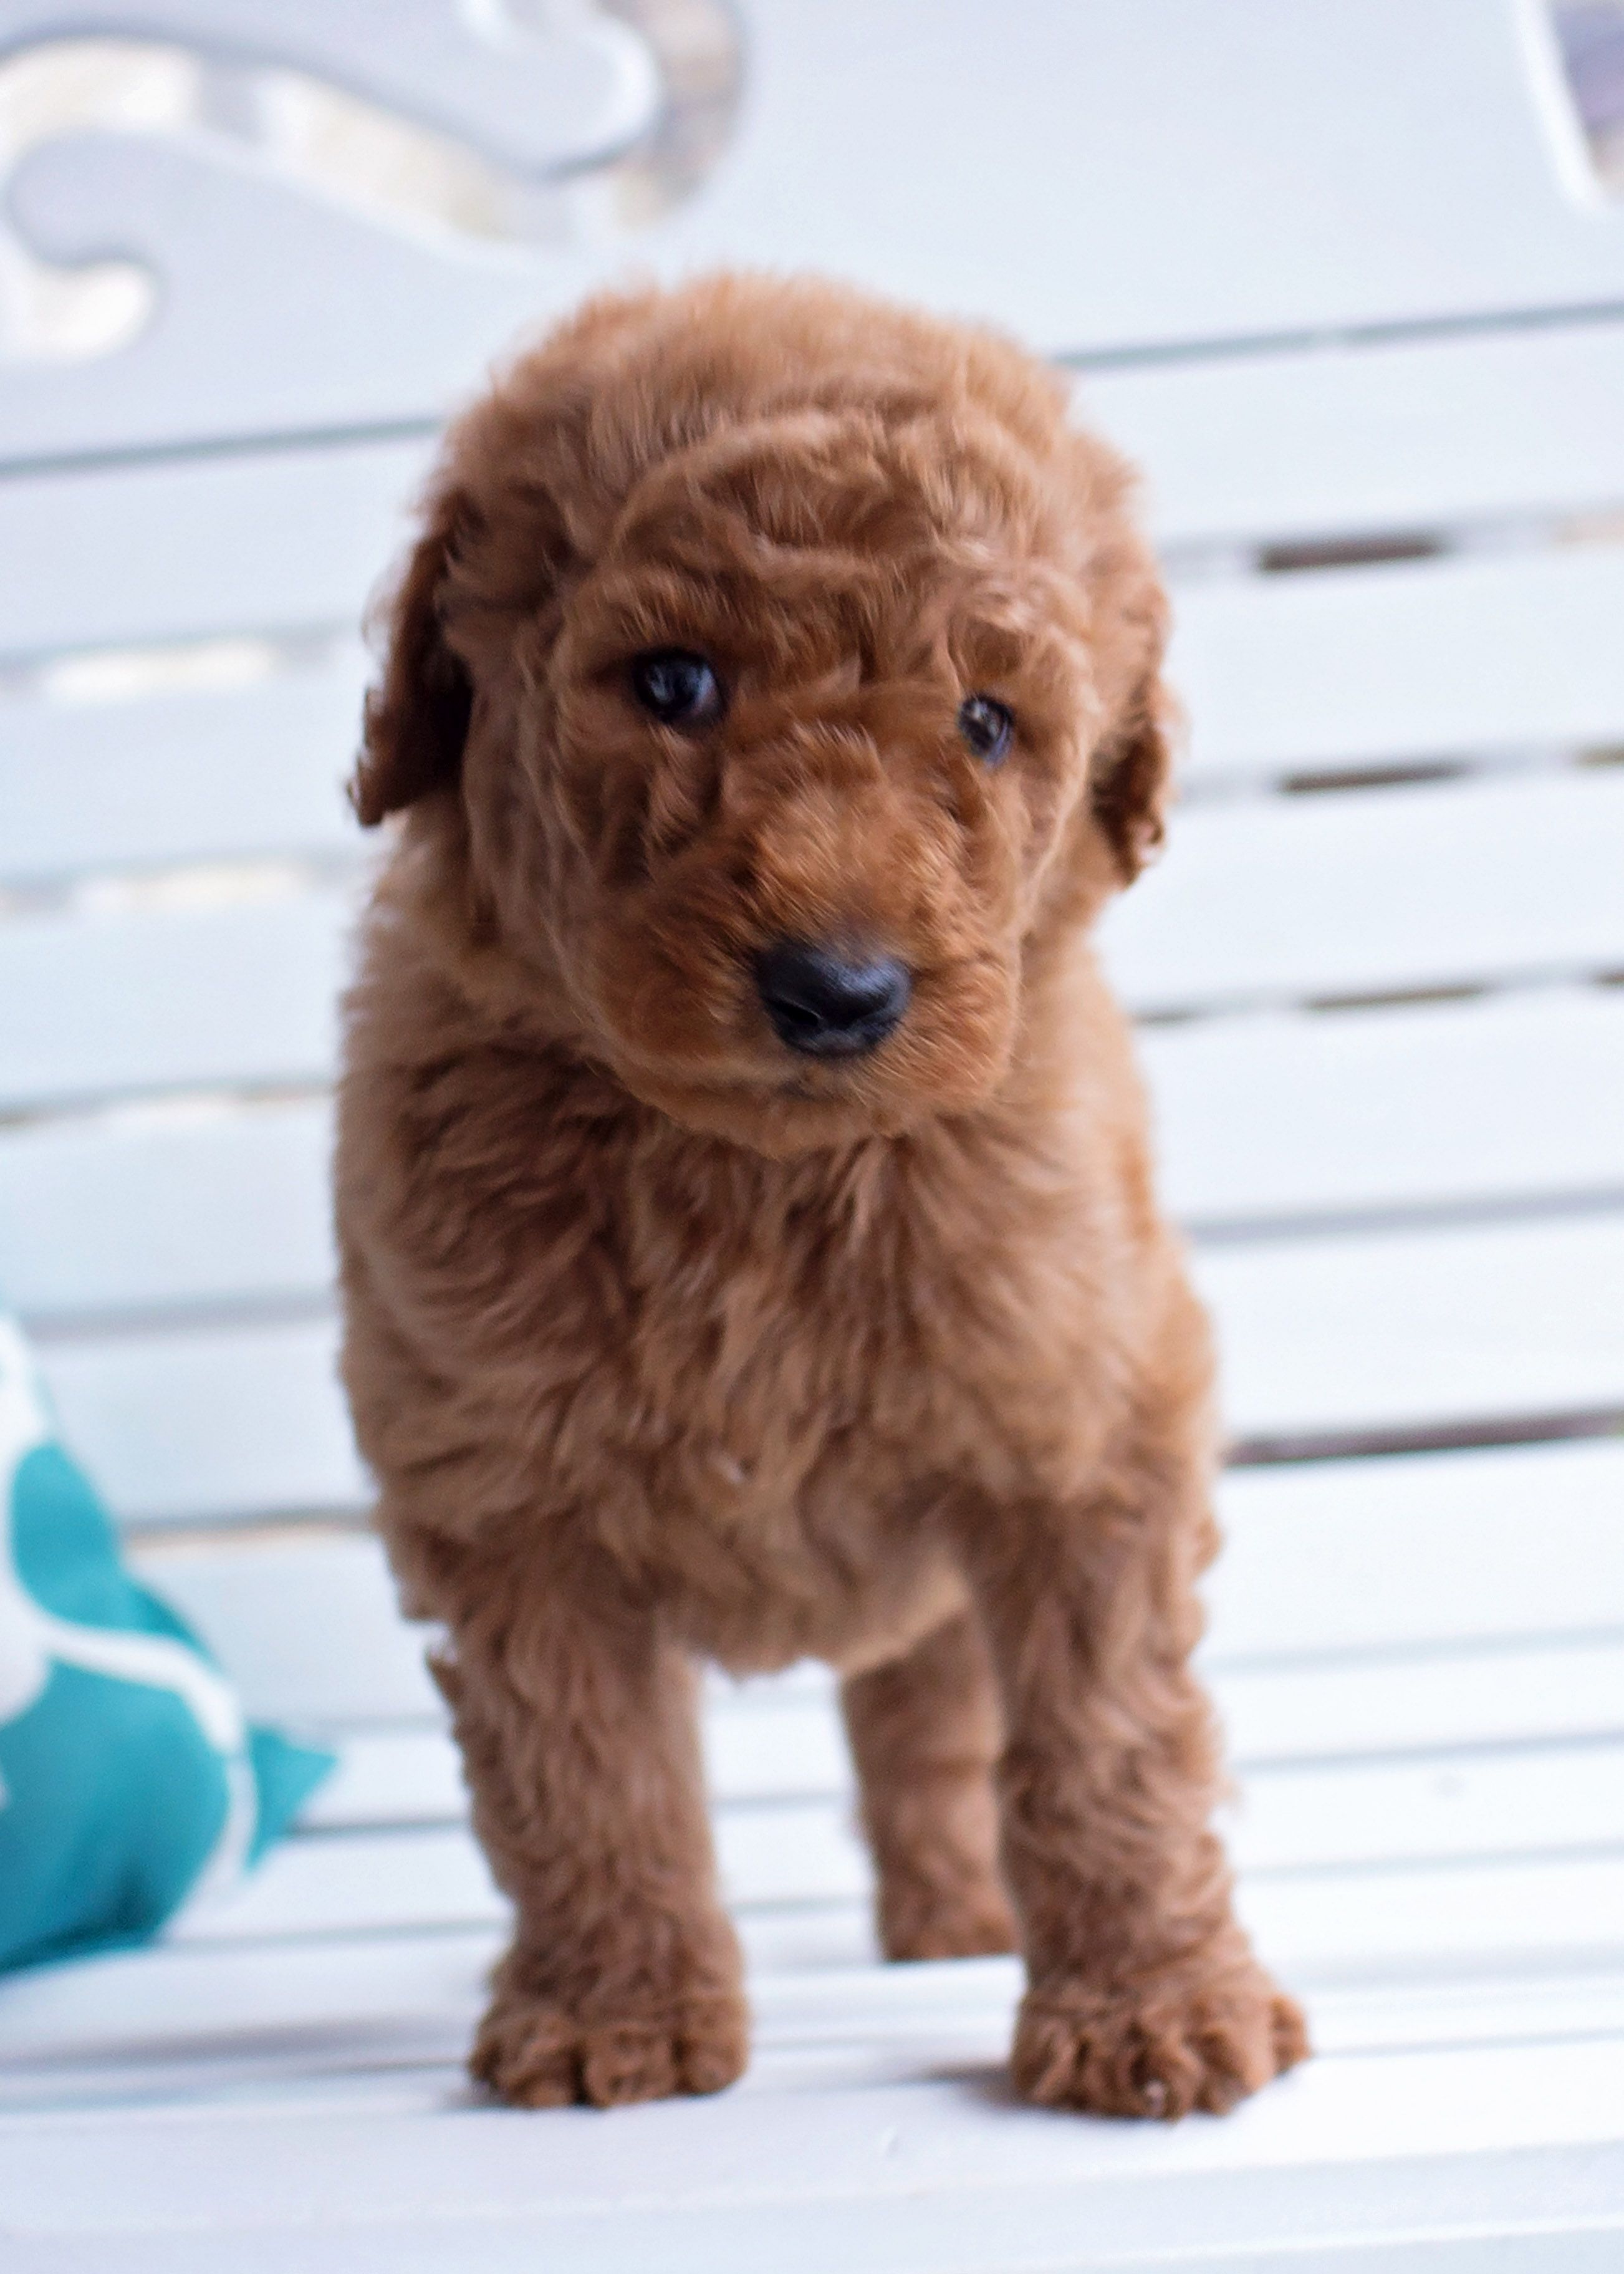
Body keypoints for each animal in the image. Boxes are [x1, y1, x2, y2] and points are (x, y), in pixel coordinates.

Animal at [334, 275, 1310, 2119]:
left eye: (989, 723)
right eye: (672, 681)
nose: (836, 991)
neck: (757, 1169)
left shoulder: (1086, 1433)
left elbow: (1104, 1737)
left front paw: (1148, 2007)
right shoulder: (502, 1496)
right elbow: (586, 1773)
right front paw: (616, 2016)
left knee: (932, 1716)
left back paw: (954, 1917)